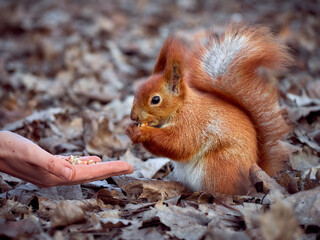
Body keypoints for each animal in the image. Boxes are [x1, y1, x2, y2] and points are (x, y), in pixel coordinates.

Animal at [125, 23, 292, 195]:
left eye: (155, 100)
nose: (133, 116)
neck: (181, 107)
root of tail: (254, 176)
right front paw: (130, 129)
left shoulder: (192, 124)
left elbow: (178, 144)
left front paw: (142, 132)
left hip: (218, 165)